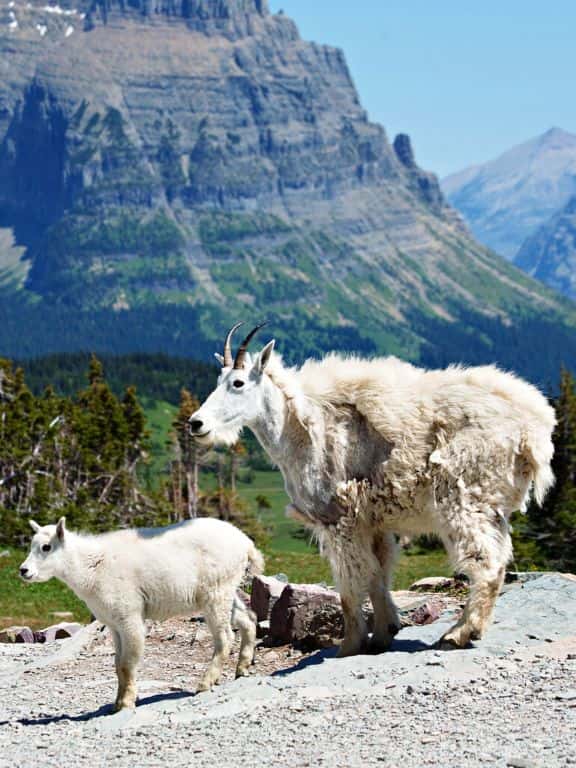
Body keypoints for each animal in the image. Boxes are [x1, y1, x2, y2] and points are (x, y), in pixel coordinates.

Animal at [191, 324, 556, 656]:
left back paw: (460, 632)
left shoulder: (339, 519)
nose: (196, 424)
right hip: (492, 506)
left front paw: (350, 645)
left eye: (238, 383)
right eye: (218, 381)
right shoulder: (373, 523)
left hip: (466, 497)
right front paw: (383, 633)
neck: (297, 428)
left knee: (486, 563)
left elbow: (350, 585)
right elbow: (377, 575)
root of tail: (533, 429)